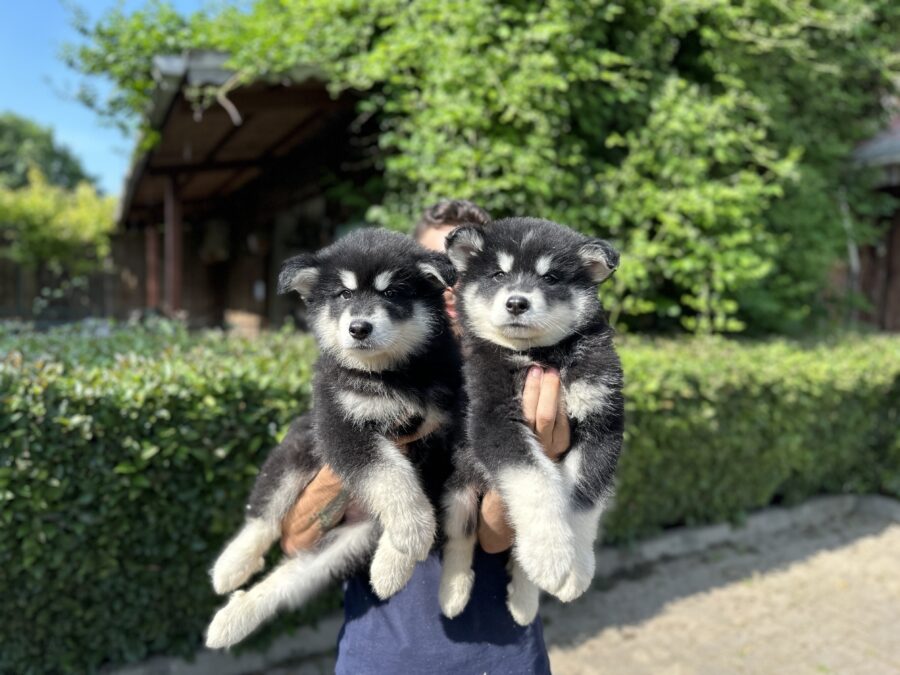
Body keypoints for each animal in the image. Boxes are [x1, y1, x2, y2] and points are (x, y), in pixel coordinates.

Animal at [207, 228, 460, 648]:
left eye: (393, 293)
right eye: (343, 294)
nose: (359, 327)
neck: (387, 376)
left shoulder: (441, 437)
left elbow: (414, 490)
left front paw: (399, 553)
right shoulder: (339, 424)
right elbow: (388, 473)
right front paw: (411, 530)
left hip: (346, 545)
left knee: (290, 579)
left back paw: (234, 618)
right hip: (301, 440)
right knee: (264, 511)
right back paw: (231, 567)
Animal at [438, 219, 624, 624]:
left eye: (550, 277)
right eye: (498, 274)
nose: (517, 302)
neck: (540, 354)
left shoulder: (602, 420)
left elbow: (584, 498)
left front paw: (576, 568)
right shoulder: (493, 418)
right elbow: (534, 480)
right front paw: (550, 551)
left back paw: (524, 600)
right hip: (457, 492)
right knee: (461, 537)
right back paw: (453, 594)